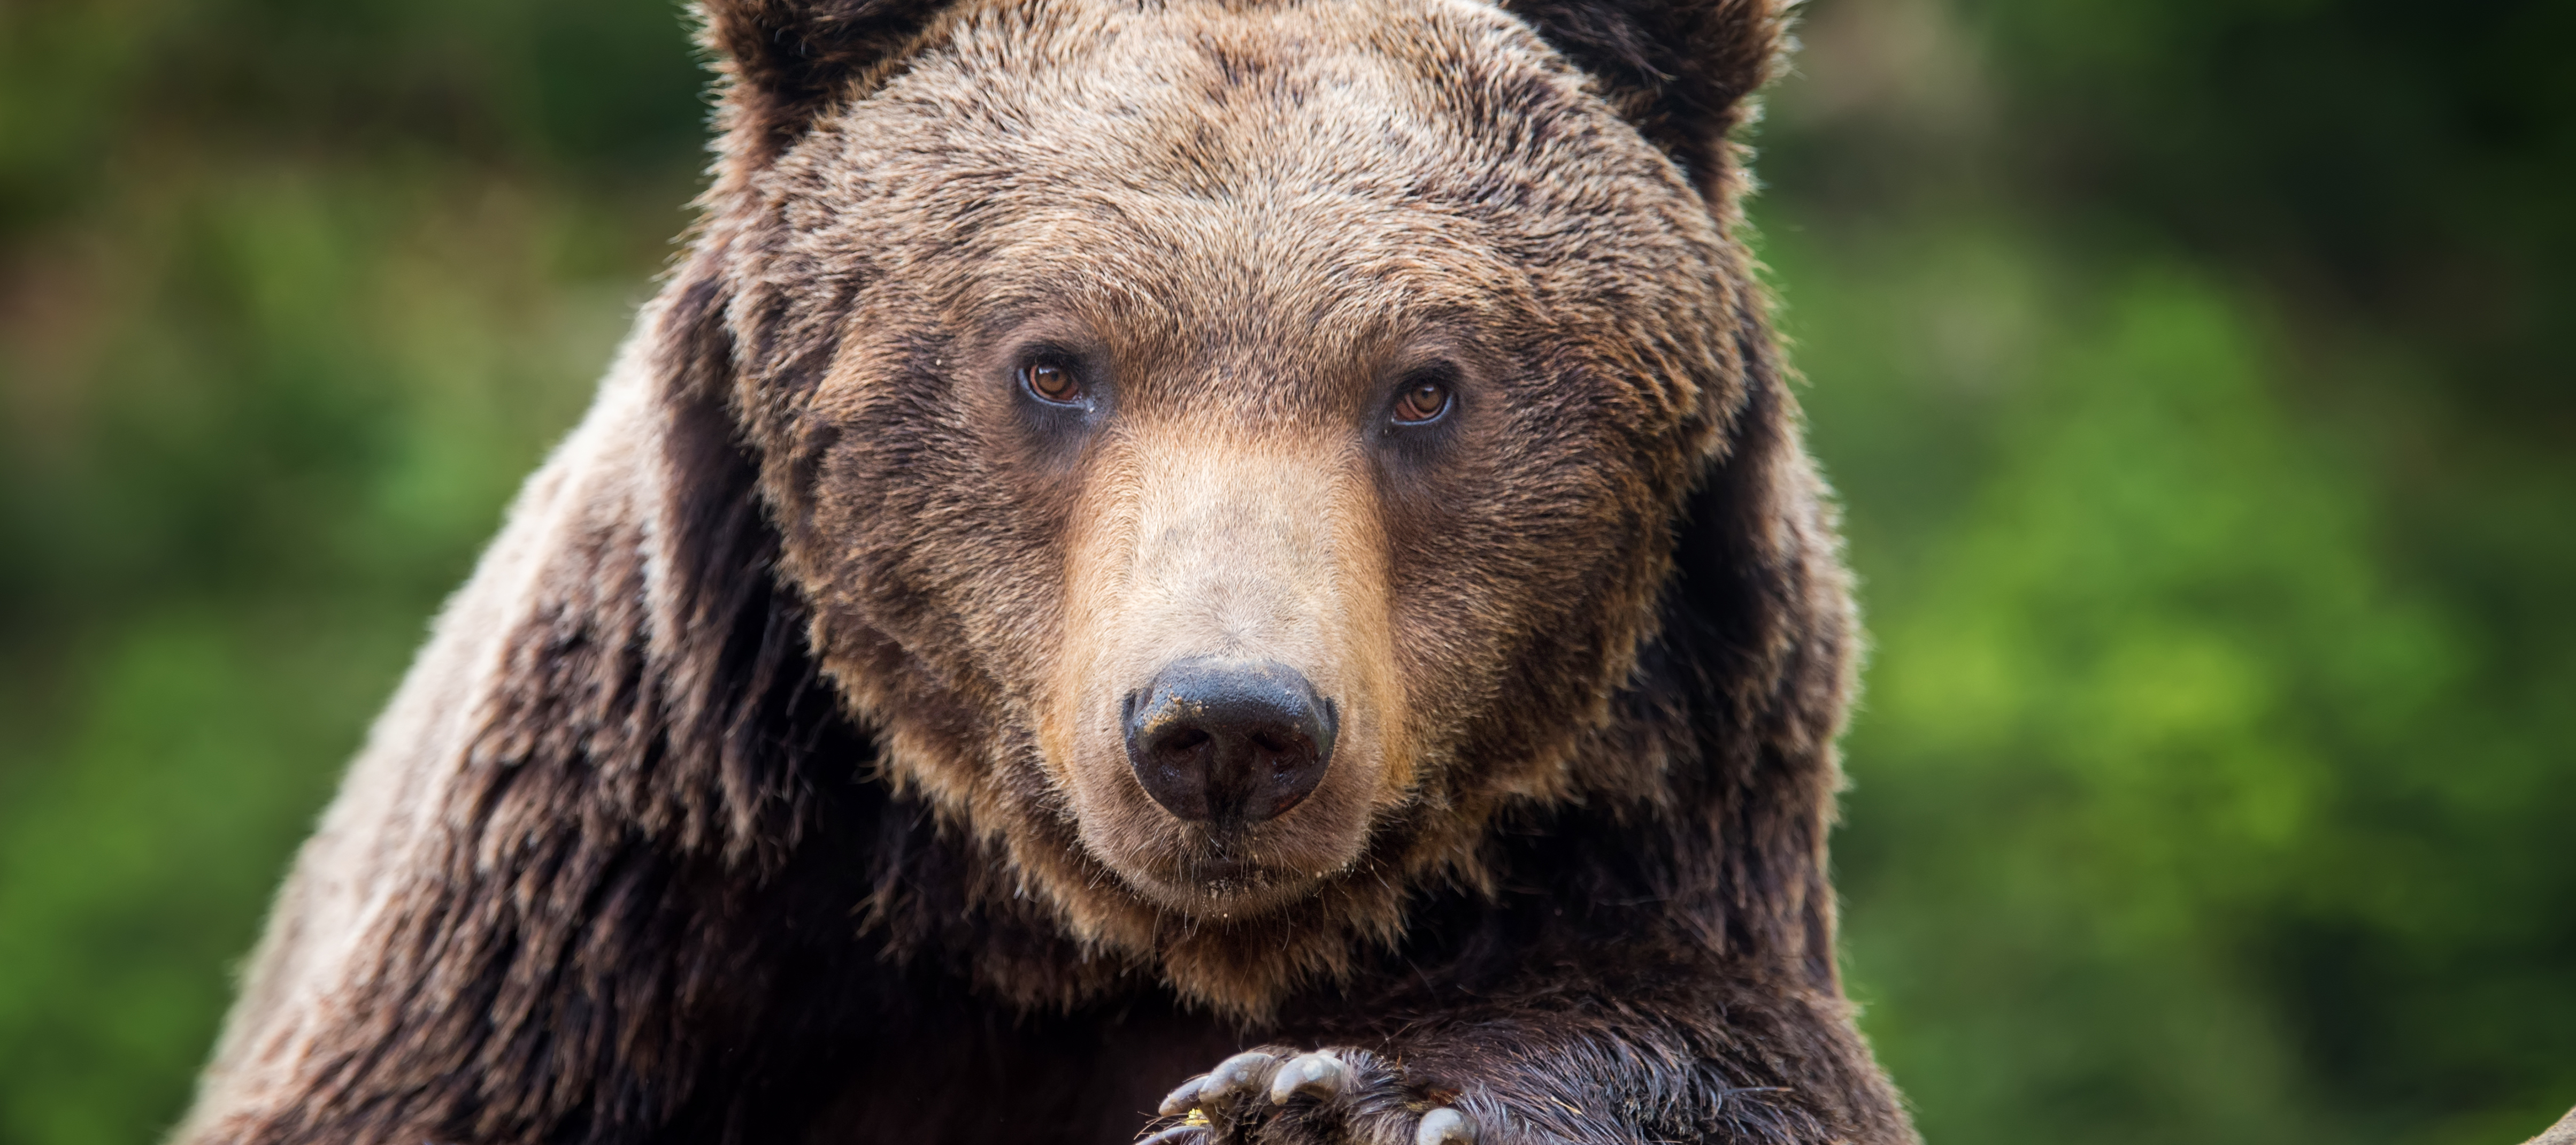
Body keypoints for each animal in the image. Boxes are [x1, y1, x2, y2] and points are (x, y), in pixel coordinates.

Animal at [175, 0, 1915, 1143]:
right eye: (1052, 363)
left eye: (1426, 384)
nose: (1228, 725)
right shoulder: (608, 933)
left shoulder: (1651, 838)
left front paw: (1328, 1098)